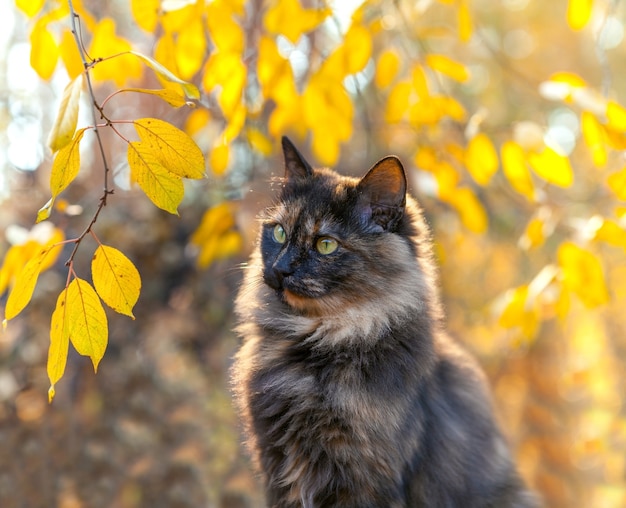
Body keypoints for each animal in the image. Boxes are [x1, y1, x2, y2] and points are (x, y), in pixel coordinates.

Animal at [229, 137, 536, 506]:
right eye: (278, 232)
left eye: (326, 244)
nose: (279, 269)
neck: (316, 341)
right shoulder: (276, 463)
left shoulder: (364, 478)